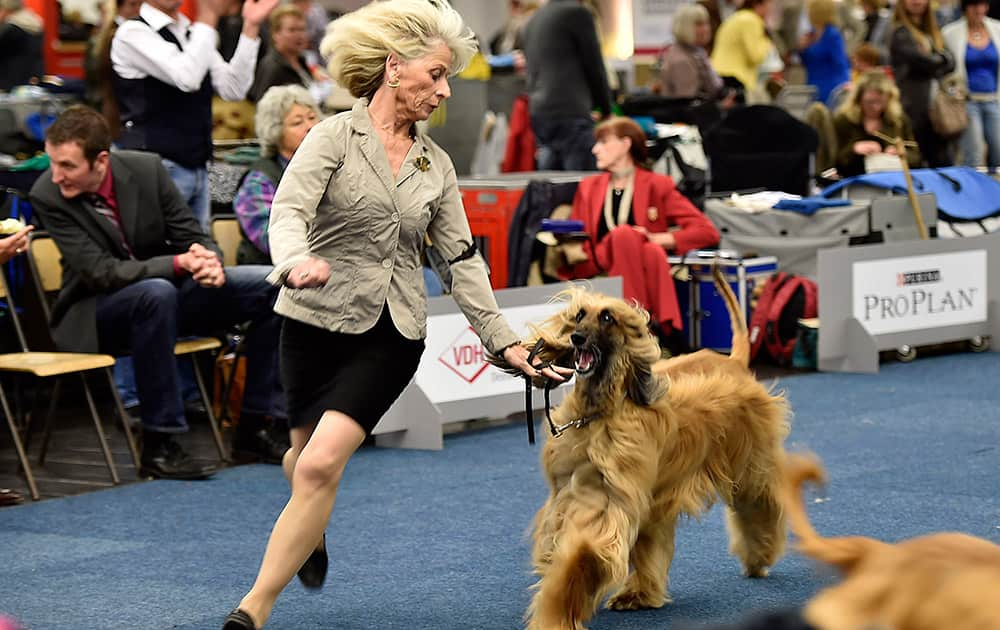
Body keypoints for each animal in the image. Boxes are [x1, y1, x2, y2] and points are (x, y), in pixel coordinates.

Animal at [492, 270, 788, 628]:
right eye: (579, 315)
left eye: (607, 317)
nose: (576, 338)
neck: (599, 413)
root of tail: (735, 363)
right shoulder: (571, 494)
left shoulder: (610, 499)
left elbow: (583, 554)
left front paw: (556, 613)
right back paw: (640, 594)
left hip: (746, 460)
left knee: (759, 502)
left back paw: (760, 555)